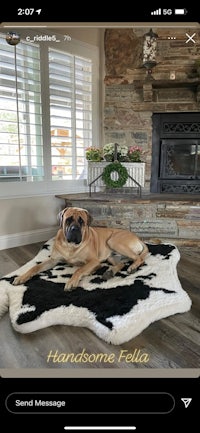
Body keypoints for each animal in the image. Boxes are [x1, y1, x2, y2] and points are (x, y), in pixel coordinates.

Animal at [13, 207, 148, 290]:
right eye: (68, 220)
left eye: (81, 221)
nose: (74, 229)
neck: (71, 246)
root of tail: (138, 238)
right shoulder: (53, 260)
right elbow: (35, 267)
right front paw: (21, 277)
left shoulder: (93, 261)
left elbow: (79, 270)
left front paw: (72, 281)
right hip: (112, 256)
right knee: (121, 264)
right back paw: (109, 272)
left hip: (113, 241)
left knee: (139, 258)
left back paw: (132, 267)